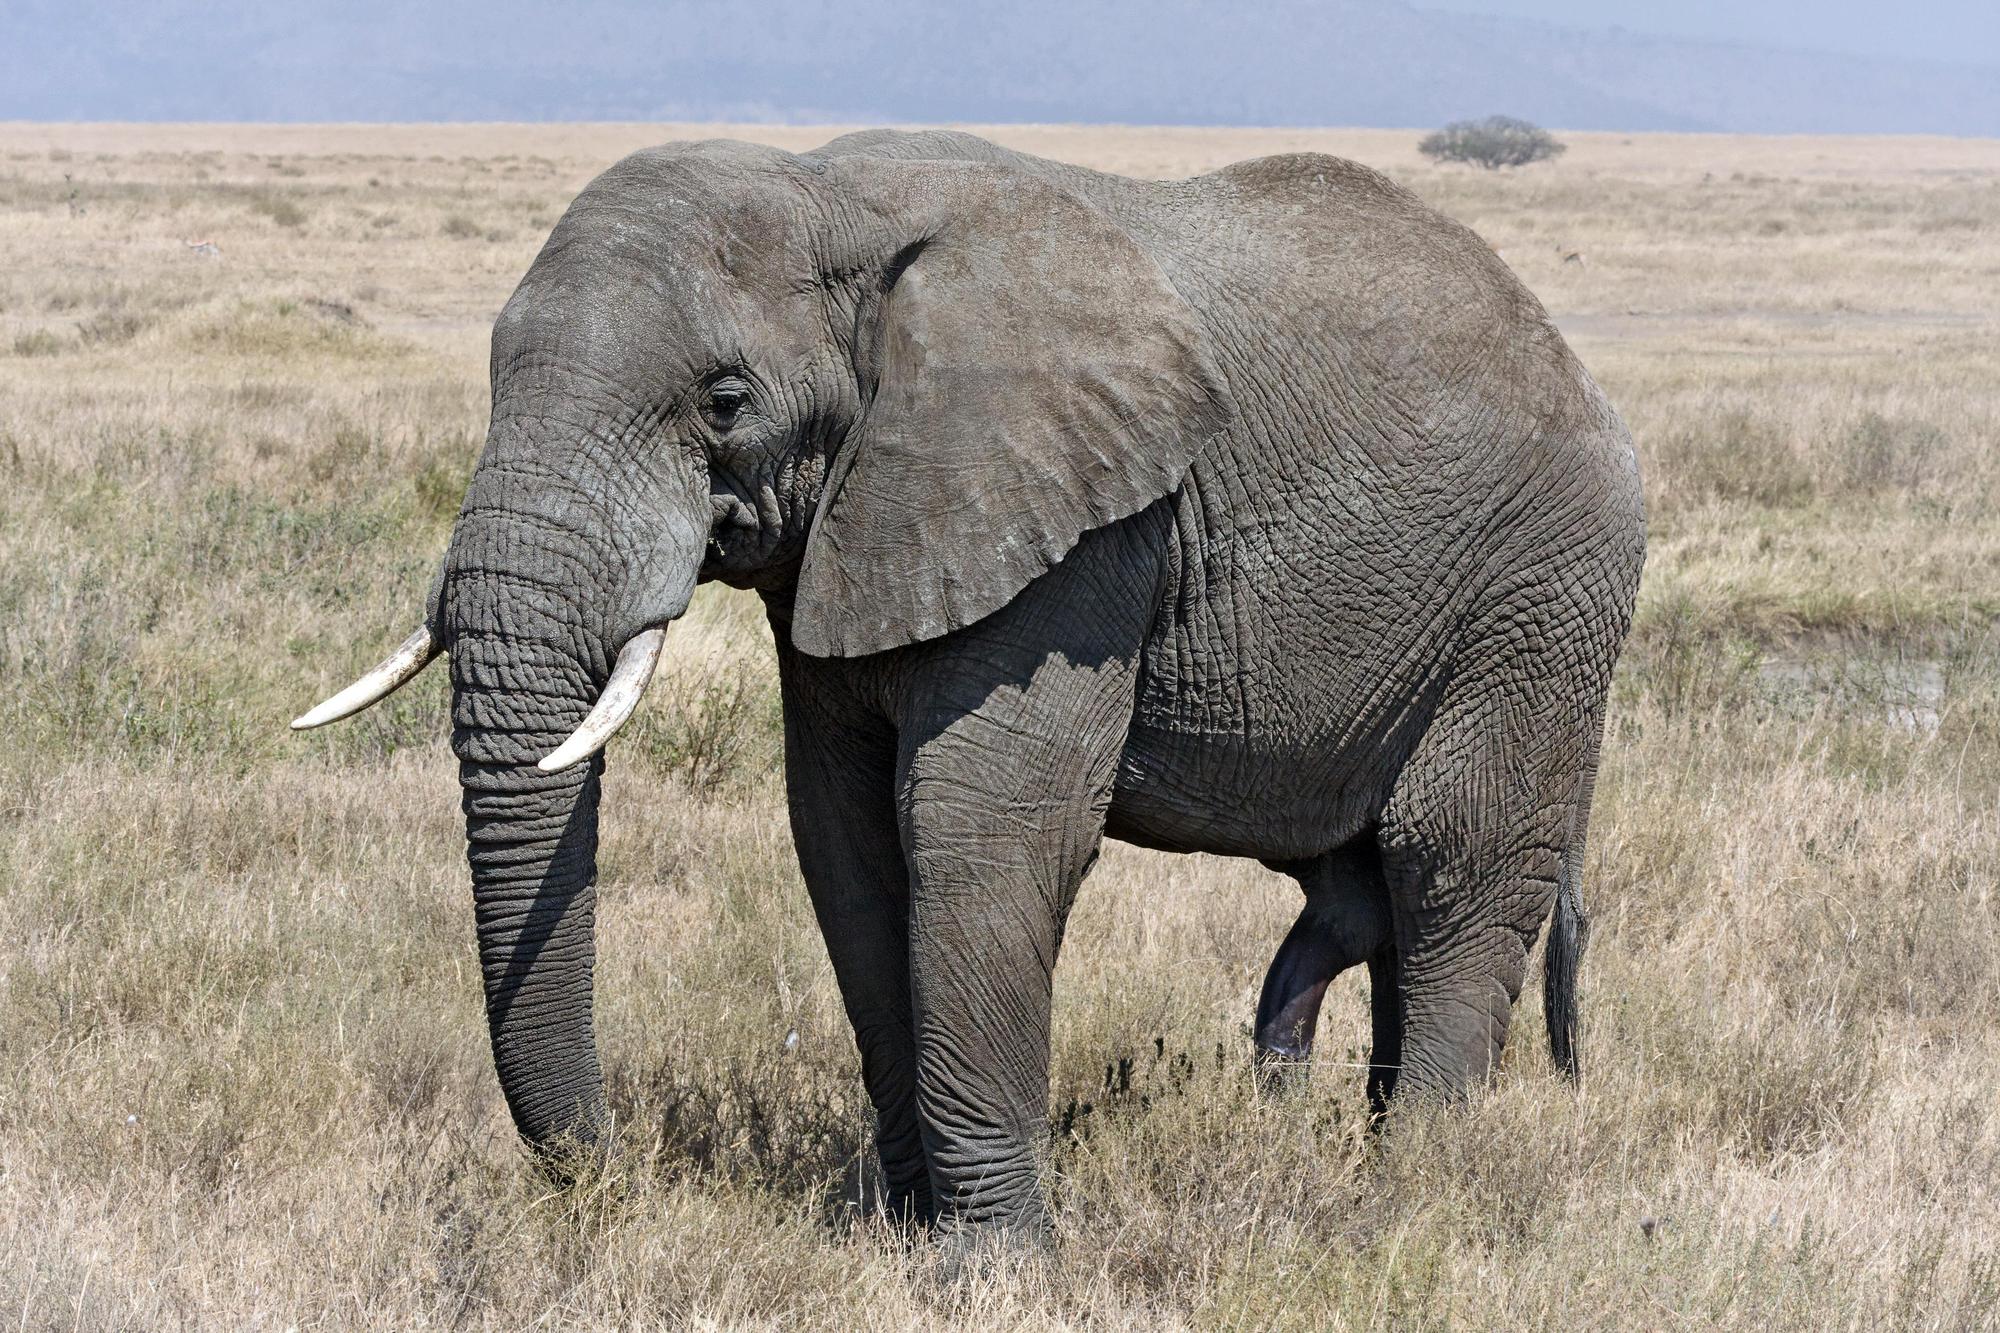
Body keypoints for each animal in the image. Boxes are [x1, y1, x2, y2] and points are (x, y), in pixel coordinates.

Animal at [294, 129, 1645, 1240]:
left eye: (723, 401)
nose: (610, 1179)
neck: (830, 196)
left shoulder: (1085, 532)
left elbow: (978, 831)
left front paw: (991, 1264)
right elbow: (843, 840)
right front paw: (900, 1233)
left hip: (1540, 598)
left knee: (1449, 865)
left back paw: (1405, 1199)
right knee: (1363, 891)